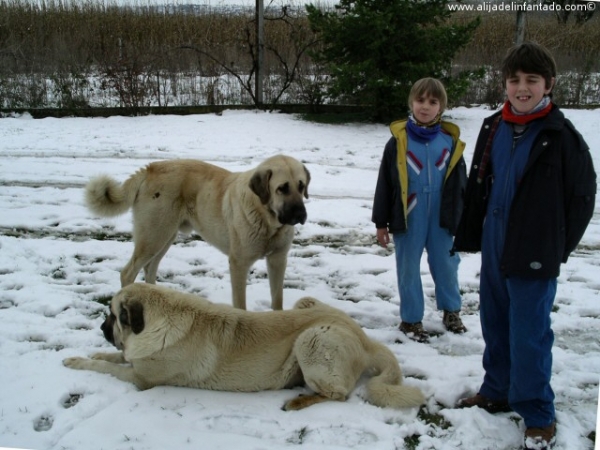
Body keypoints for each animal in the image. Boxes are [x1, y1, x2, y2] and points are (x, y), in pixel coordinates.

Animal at [62, 284, 426, 412]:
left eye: (112, 315)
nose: (101, 327)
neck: (159, 320)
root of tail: (364, 338)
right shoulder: (134, 359)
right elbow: (115, 356)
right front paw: (96, 351)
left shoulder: (142, 379)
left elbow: (109, 366)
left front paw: (77, 361)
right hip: (305, 302)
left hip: (312, 339)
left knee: (338, 393)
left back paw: (298, 400)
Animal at [84, 155, 310, 310]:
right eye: (282, 188)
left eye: (301, 186)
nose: (301, 214)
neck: (267, 219)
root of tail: (150, 168)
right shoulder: (239, 263)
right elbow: (241, 304)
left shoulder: (278, 260)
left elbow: (277, 299)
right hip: (153, 237)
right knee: (128, 273)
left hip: (165, 237)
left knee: (150, 268)